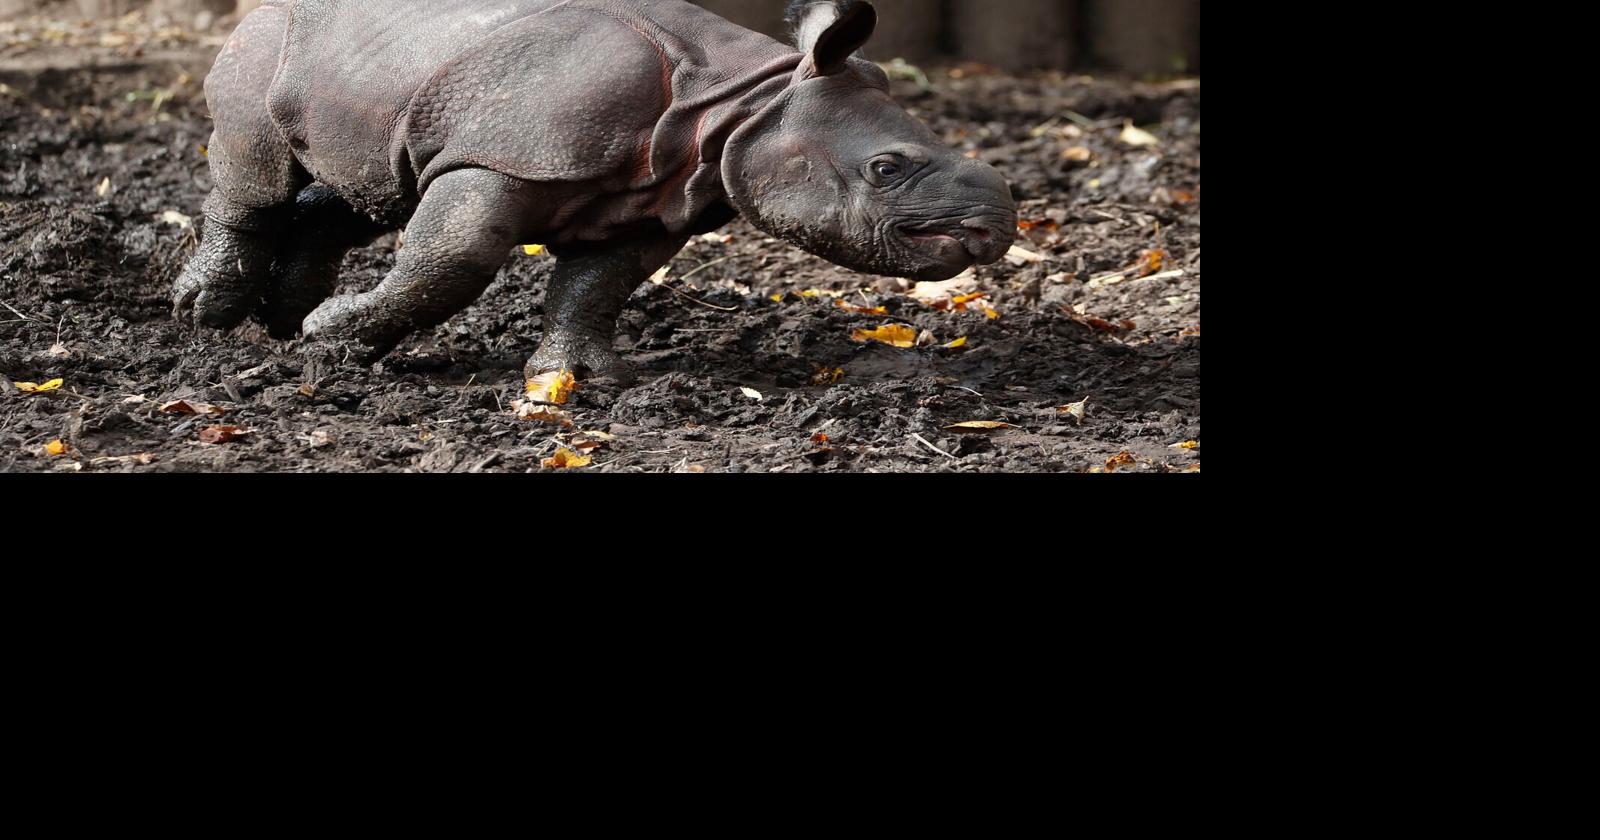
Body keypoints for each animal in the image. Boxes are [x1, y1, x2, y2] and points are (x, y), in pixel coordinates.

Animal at [173, 0, 1017, 382]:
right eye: (886, 168)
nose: (995, 226)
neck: (746, 102)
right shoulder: (504, 156)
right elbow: (455, 257)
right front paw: (334, 339)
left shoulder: (656, 200)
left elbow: (598, 283)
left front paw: (580, 380)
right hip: (271, 34)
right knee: (257, 167)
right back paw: (207, 318)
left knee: (371, 191)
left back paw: (279, 320)